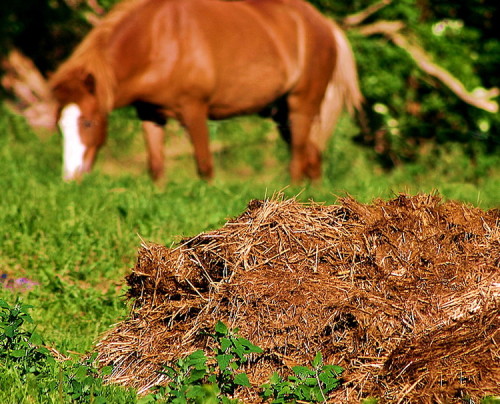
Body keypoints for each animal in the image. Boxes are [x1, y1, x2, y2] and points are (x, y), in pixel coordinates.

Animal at [50, 0, 362, 181]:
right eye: (60, 125)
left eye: (88, 123)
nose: (70, 176)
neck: (158, 38)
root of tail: (325, 24)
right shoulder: (150, 114)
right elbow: (156, 167)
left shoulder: (194, 110)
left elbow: (205, 167)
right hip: (282, 113)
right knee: (313, 157)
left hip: (302, 106)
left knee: (298, 160)